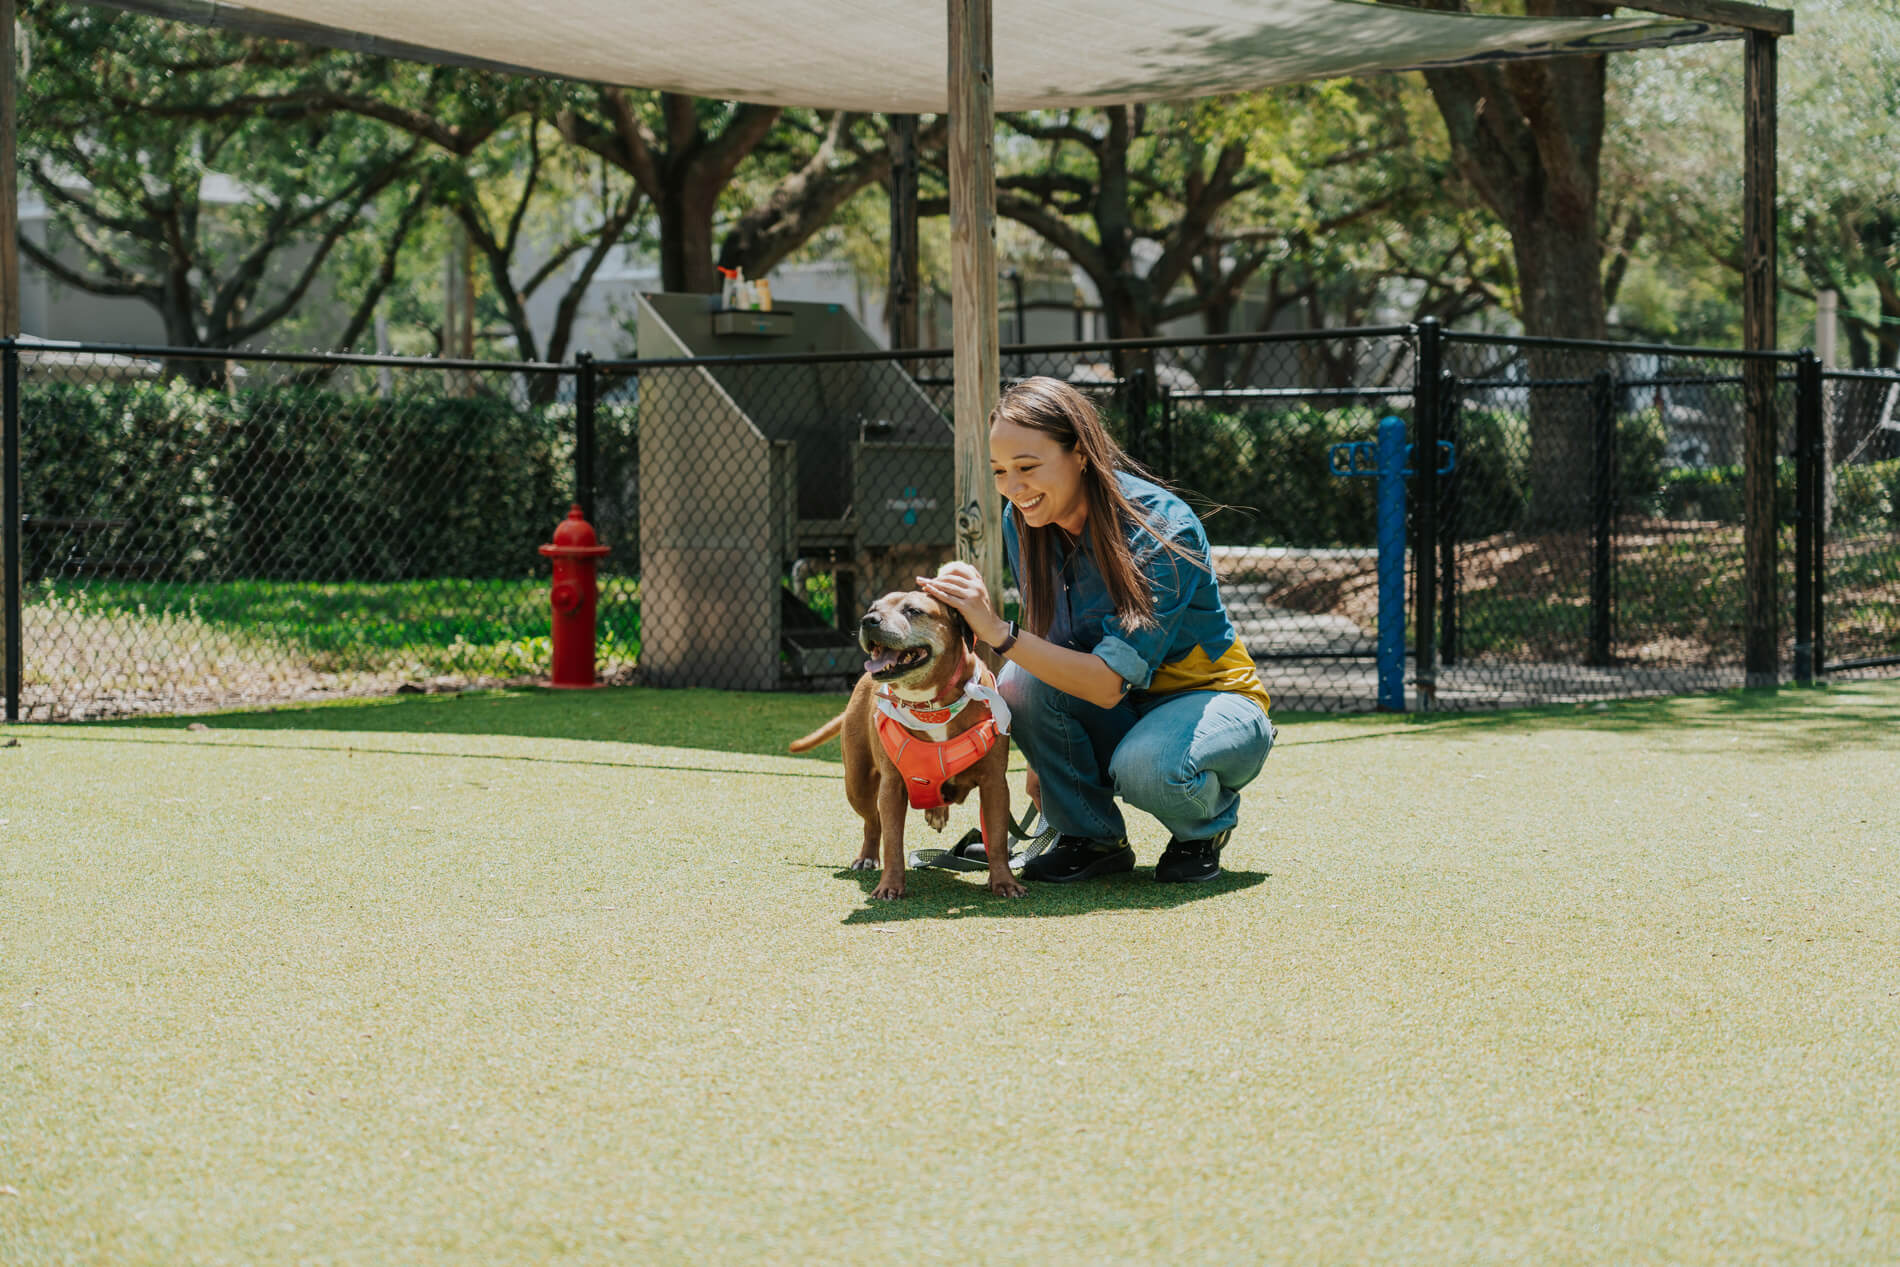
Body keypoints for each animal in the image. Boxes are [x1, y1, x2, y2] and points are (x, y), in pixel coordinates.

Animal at [786, 592, 1026, 900]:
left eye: (913, 611)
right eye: (872, 609)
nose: (868, 621)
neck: (931, 706)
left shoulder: (994, 784)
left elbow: (995, 837)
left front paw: (1004, 882)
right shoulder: (891, 787)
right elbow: (892, 841)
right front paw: (890, 885)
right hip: (857, 783)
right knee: (872, 821)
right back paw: (867, 856)